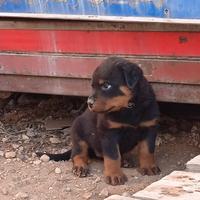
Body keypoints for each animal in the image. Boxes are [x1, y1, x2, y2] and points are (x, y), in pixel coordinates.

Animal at [39, 56, 160, 186]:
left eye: (106, 85)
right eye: (92, 86)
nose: (89, 103)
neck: (130, 107)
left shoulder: (149, 127)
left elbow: (147, 150)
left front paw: (149, 167)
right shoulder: (108, 132)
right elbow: (112, 155)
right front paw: (114, 175)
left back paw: (125, 160)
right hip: (78, 133)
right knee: (77, 154)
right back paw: (80, 167)